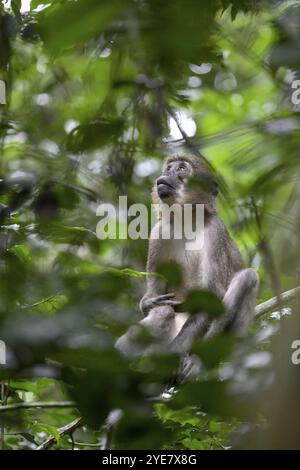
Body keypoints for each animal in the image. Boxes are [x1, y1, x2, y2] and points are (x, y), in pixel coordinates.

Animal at [115, 154, 258, 364]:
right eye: (169, 168)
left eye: (181, 169)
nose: (167, 172)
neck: (186, 223)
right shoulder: (158, 233)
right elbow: (154, 296)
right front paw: (149, 303)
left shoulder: (215, 230)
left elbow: (212, 298)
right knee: (164, 312)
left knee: (248, 276)